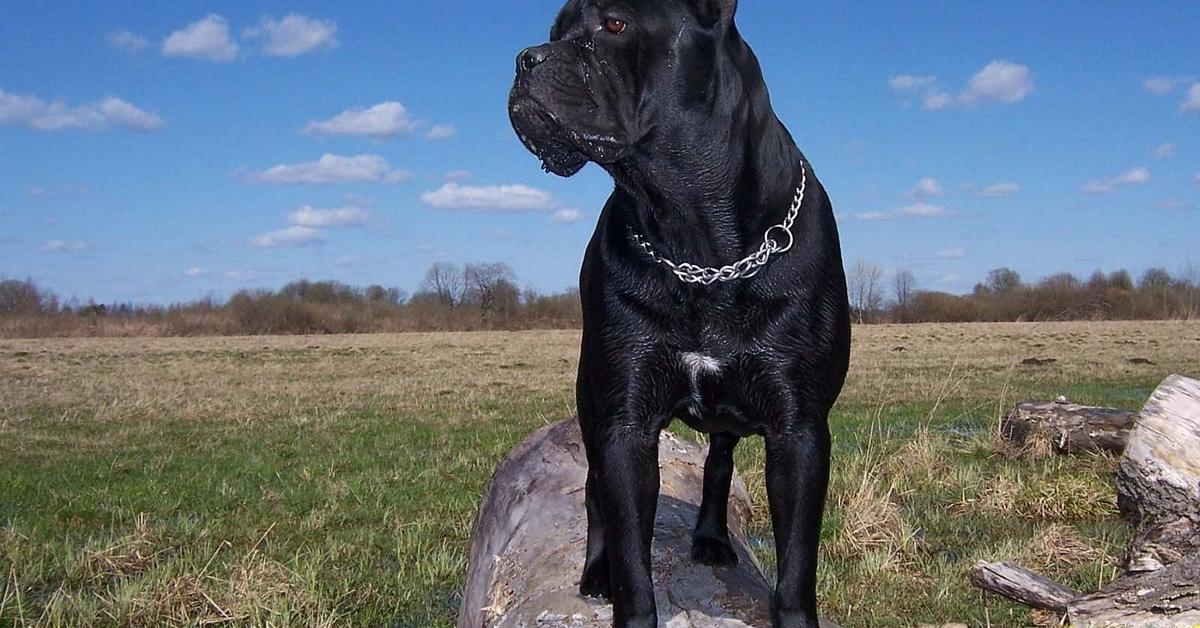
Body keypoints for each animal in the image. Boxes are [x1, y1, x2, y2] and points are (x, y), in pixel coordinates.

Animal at [511, 2, 849, 624]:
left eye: (615, 24)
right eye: (554, 32)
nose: (526, 59)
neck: (698, 241)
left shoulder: (799, 430)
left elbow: (795, 564)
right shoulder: (625, 425)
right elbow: (630, 555)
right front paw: (620, 587)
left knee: (718, 461)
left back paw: (712, 539)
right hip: (592, 403)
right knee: (594, 492)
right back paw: (596, 571)